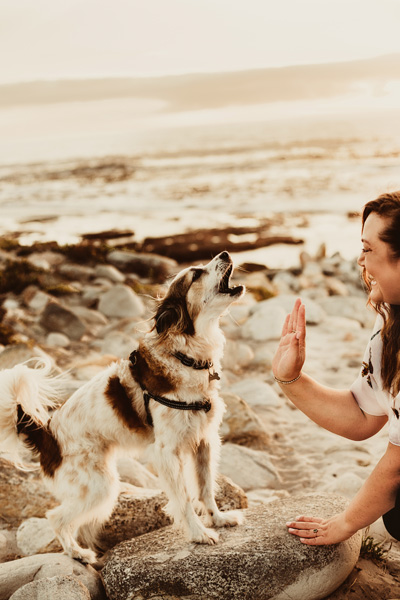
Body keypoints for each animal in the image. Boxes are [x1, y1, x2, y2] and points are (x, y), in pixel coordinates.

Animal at [0, 251, 244, 564]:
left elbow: (205, 489)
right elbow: (185, 499)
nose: (225, 253)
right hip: (100, 486)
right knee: (55, 517)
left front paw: (218, 519)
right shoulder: (167, 452)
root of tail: (46, 435)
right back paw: (77, 553)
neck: (187, 357)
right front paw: (199, 533)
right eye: (196, 274)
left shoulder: (204, 442)